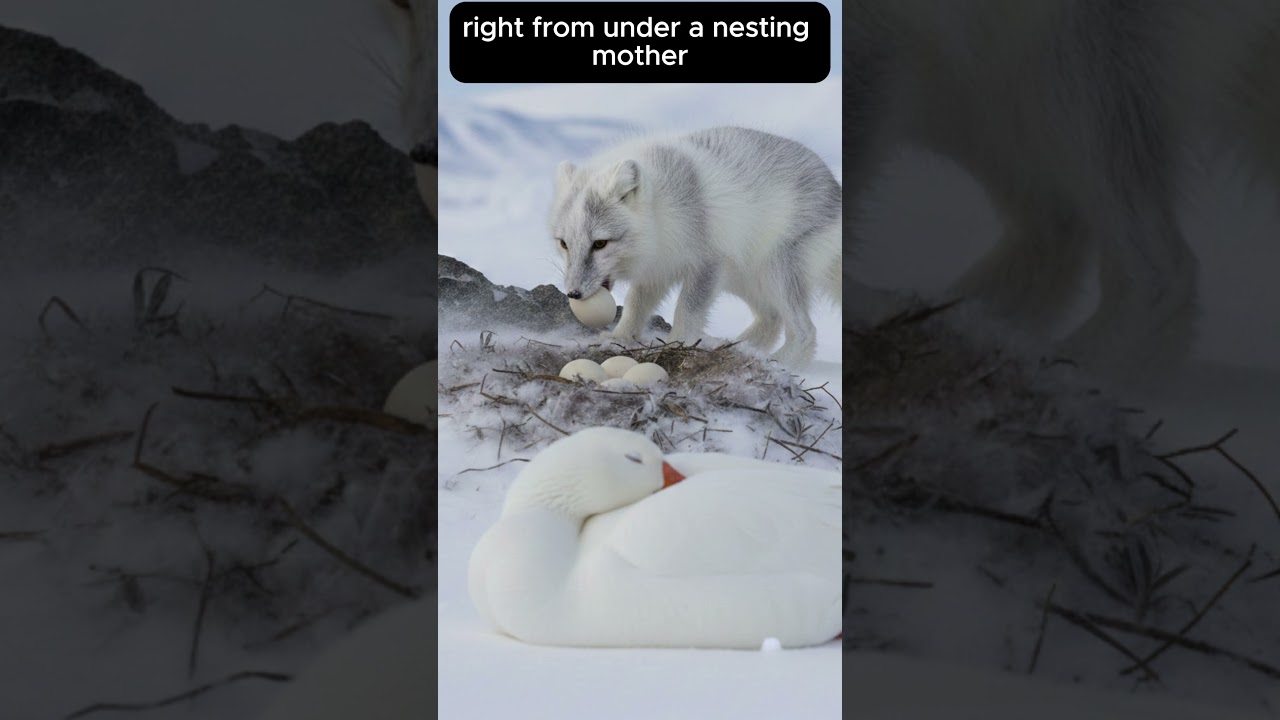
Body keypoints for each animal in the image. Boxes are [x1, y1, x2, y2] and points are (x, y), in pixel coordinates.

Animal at [550, 127, 842, 368]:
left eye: (600, 243)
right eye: (564, 243)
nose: (573, 293)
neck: (660, 211)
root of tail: (836, 194)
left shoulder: (707, 263)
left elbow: (687, 310)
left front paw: (677, 344)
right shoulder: (657, 269)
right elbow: (636, 304)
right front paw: (619, 338)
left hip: (774, 269)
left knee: (805, 331)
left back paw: (779, 363)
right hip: (742, 279)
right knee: (772, 319)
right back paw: (737, 348)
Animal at [844, 0, 1280, 386]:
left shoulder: (873, 41)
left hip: (1068, 71)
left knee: (1158, 271)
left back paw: (1069, 381)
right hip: (979, 99)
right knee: (1056, 237)